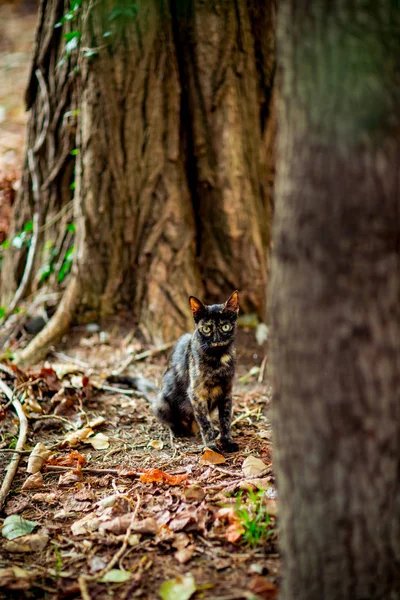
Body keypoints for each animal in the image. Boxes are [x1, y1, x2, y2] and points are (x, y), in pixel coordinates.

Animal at [108, 290, 239, 450]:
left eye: (225, 327)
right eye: (207, 329)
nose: (217, 340)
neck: (218, 359)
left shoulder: (227, 391)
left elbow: (225, 419)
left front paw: (227, 441)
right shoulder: (196, 394)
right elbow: (205, 423)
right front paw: (211, 446)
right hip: (162, 403)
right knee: (172, 421)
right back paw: (179, 430)